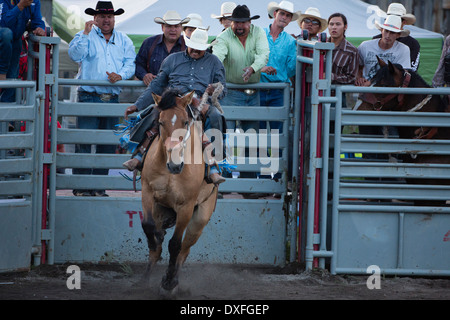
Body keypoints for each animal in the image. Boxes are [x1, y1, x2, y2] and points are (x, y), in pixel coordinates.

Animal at [141, 88, 218, 296]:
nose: (175, 165)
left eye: (185, 122)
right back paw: (146, 279)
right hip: (160, 209)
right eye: (160, 122)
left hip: (199, 220)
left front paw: (168, 283)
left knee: (184, 250)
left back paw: (173, 280)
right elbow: (148, 226)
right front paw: (154, 242)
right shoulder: (147, 191)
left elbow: (175, 244)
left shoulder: (186, 206)